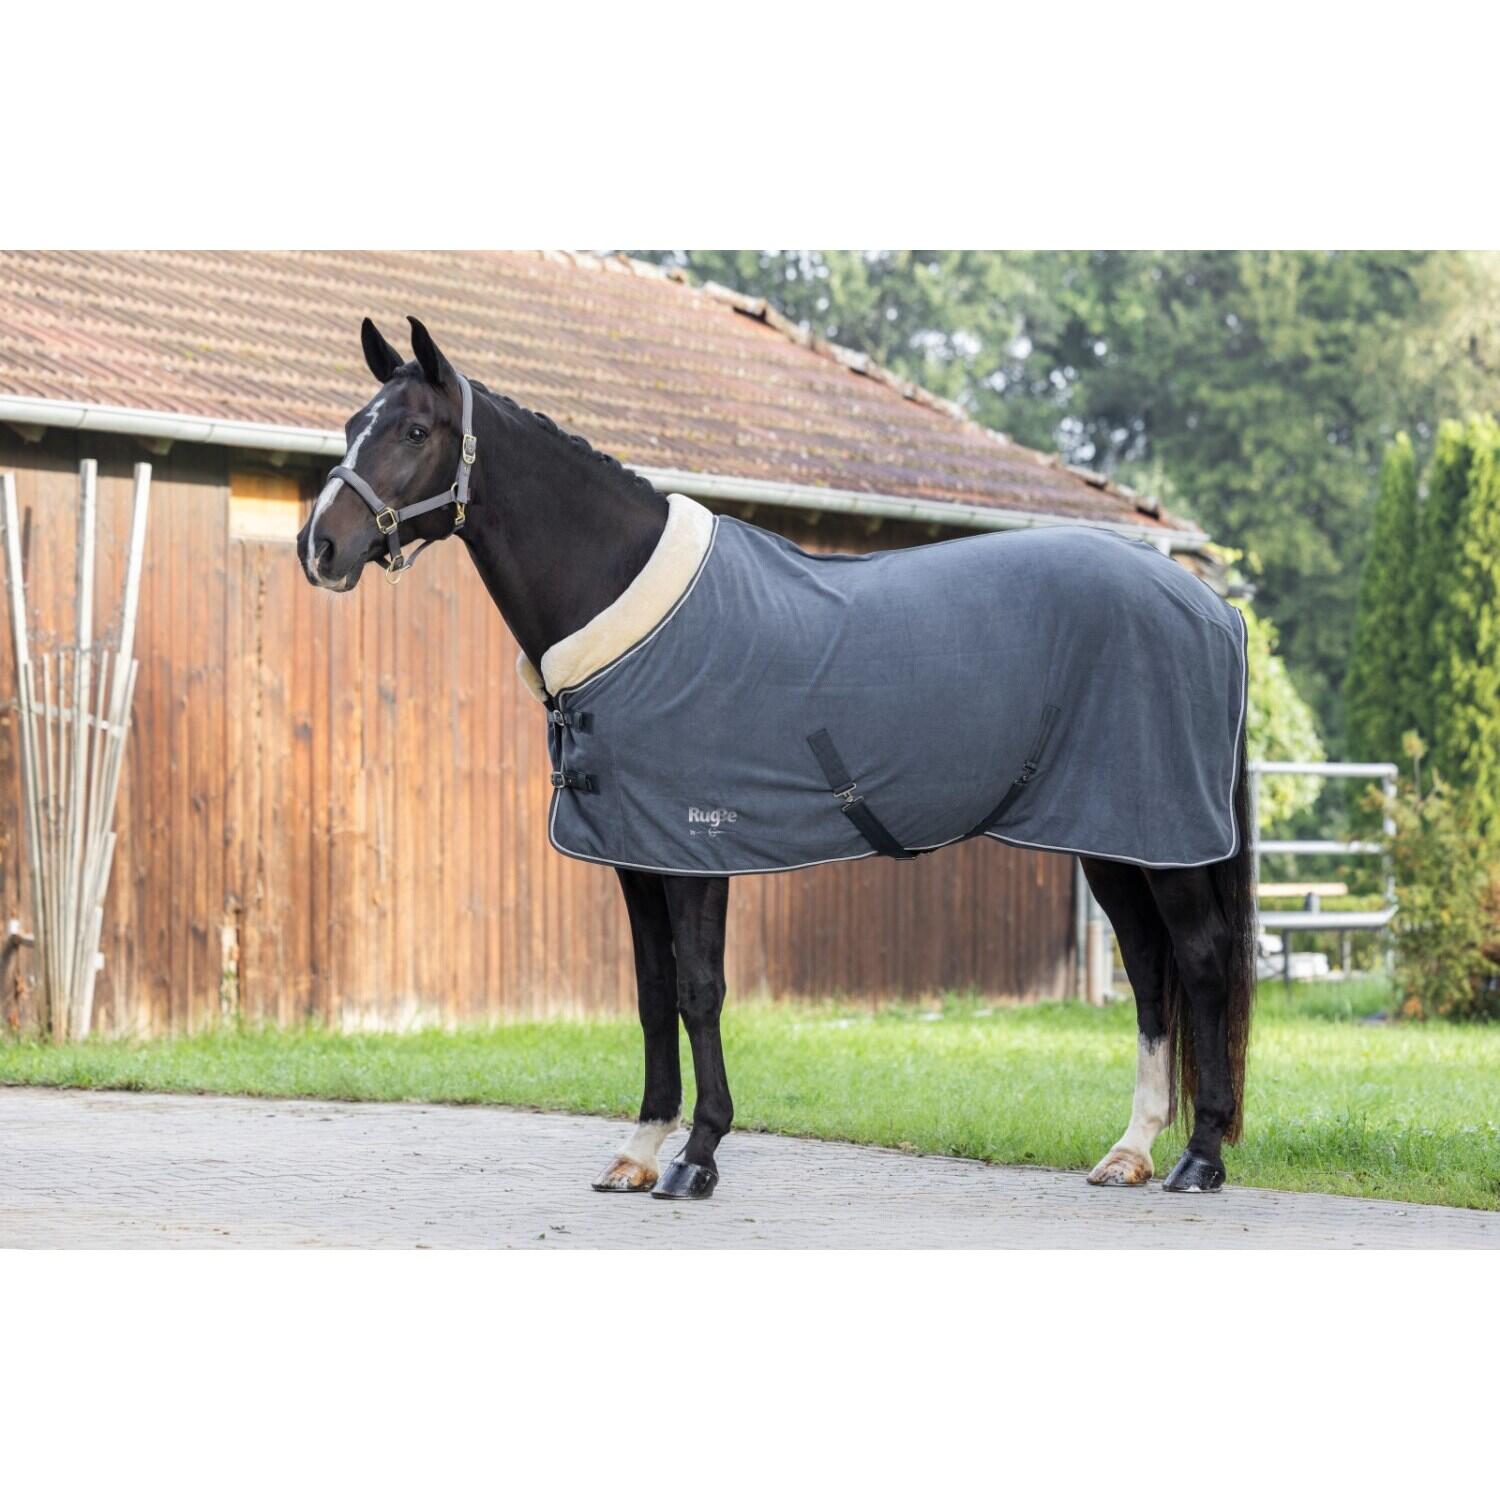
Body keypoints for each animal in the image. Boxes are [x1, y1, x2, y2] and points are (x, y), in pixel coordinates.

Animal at [297, 316, 1255, 1202]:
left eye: (414, 431)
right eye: (350, 423)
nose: (320, 548)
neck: (626, 604)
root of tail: (1210, 605)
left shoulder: (694, 849)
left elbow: (699, 990)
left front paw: (697, 1157)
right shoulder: (636, 856)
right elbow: (651, 992)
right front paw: (639, 1152)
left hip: (1163, 838)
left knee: (1202, 960)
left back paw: (1199, 1158)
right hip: (1116, 839)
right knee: (1148, 972)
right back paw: (1131, 1150)